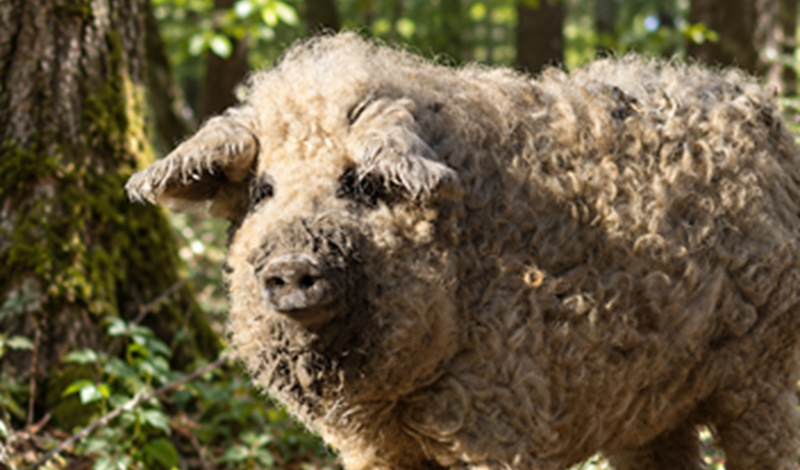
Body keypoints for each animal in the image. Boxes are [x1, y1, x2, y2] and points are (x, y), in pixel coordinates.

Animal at [126, 33, 800, 470]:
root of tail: (763, 114)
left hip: (767, 373)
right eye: (262, 190)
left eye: (360, 184)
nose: (292, 266)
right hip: (650, 405)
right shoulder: (375, 449)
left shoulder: (503, 420)